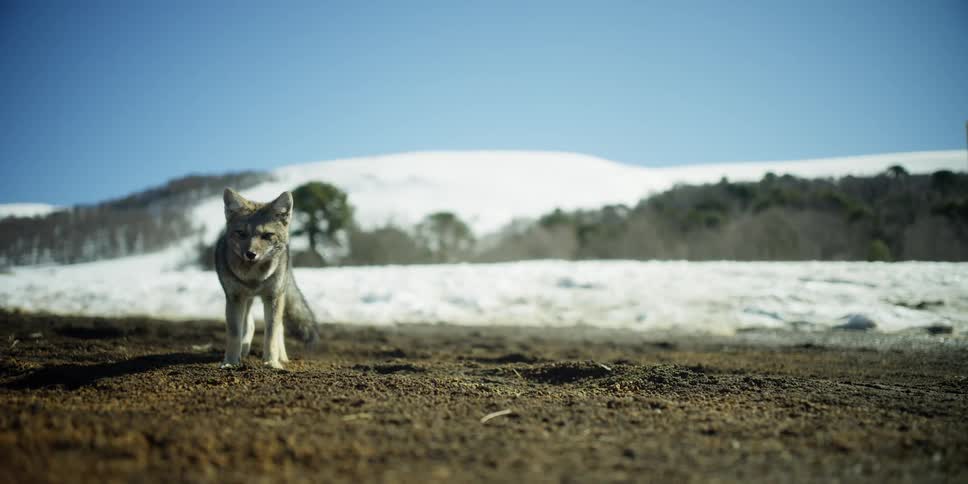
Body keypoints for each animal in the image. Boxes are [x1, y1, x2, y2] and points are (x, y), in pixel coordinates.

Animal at [215, 188, 319, 369]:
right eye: (241, 233)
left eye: (267, 235)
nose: (250, 254)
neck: (254, 277)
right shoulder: (235, 298)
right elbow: (234, 334)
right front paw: (230, 362)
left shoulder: (273, 297)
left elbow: (271, 334)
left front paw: (271, 362)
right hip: (247, 301)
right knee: (249, 324)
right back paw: (244, 350)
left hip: (279, 297)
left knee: (280, 328)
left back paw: (282, 357)